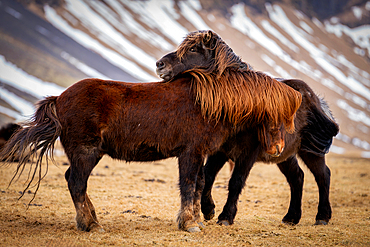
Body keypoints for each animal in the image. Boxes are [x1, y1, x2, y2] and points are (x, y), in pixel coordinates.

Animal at [0, 68, 300, 233]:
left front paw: (197, 219)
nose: (278, 148)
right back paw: (91, 226)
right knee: (76, 183)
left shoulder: (199, 153)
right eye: (275, 114)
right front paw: (189, 223)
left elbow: (200, 184)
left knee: (73, 182)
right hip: (87, 153)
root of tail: (60, 98)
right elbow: (189, 184)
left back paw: (90, 220)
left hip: (87, 155)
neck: (208, 103)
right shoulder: (190, 153)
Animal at [155, 29, 340, 226]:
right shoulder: (220, 151)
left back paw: (322, 216)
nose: (160, 65)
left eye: (193, 49)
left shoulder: (248, 153)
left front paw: (226, 216)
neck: (239, 108)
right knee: (297, 177)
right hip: (285, 155)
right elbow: (208, 175)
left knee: (323, 176)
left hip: (311, 151)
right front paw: (209, 209)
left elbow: (236, 181)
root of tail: (319, 101)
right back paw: (291, 217)